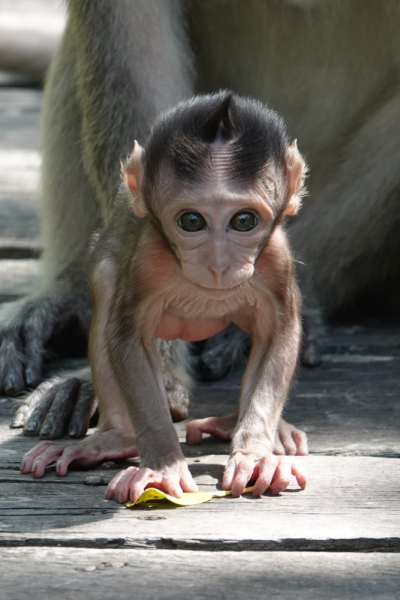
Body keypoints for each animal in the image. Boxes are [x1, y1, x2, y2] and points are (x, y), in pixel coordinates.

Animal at [21, 91, 306, 500]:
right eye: (192, 221)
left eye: (244, 221)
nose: (218, 265)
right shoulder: (148, 261)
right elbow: (129, 341)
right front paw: (162, 465)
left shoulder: (275, 261)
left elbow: (277, 335)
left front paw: (254, 456)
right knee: (107, 282)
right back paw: (114, 438)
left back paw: (244, 426)